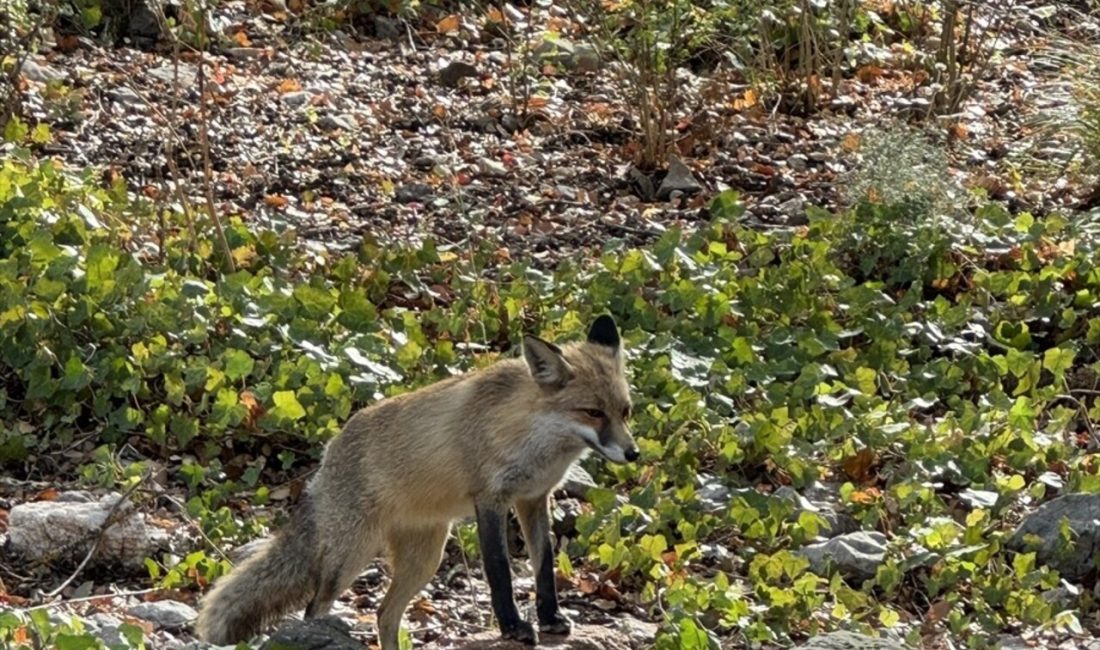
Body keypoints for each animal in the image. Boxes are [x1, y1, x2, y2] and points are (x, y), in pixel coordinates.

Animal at [191, 314, 638, 646]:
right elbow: (500, 572)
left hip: (425, 559)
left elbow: (543, 566)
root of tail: (327, 457)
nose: (633, 454)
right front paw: (513, 628)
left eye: (625, 411)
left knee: (384, 615)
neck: (530, 434)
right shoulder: (490, 499)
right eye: (593, 412)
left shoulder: (533, 498)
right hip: (350, 558)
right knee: (315, 608)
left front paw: (551, 618)